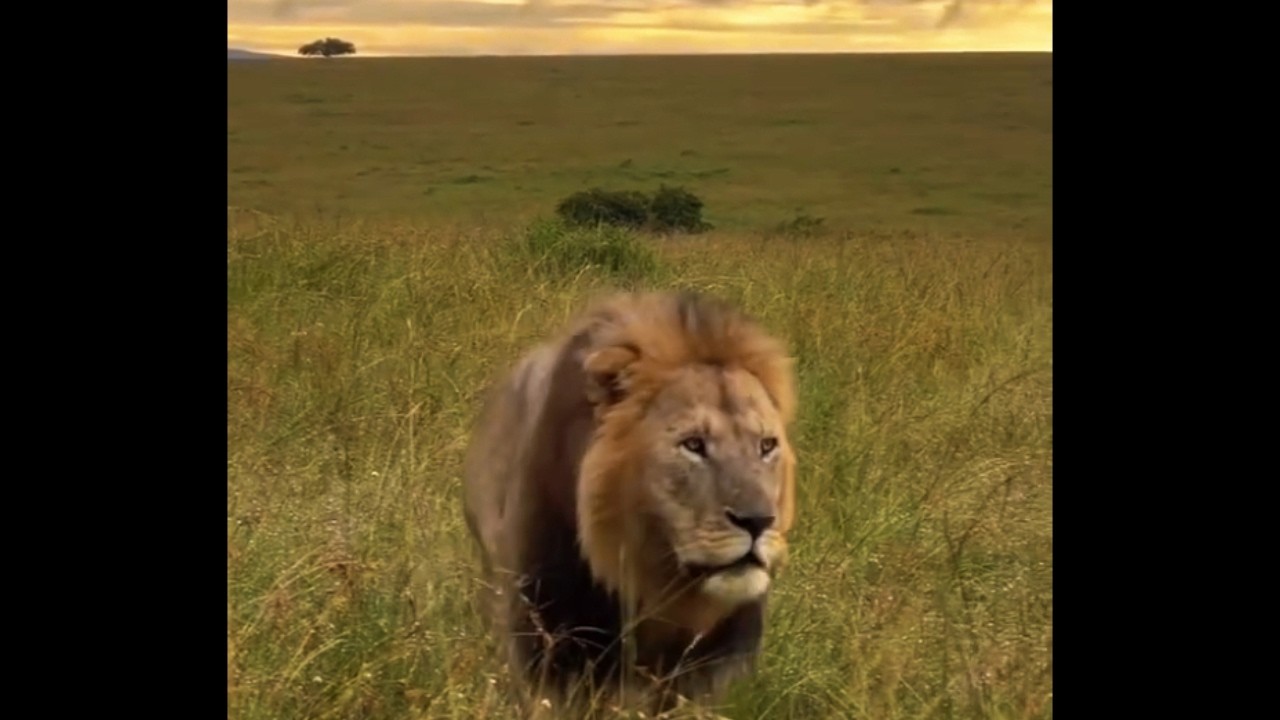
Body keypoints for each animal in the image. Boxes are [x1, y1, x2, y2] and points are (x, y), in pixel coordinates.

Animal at [462, 290, 798, 717]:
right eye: (693, 444)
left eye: (767, 445)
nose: (758, 521)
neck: (655, 591)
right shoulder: (547, 641)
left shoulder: (705, 671)